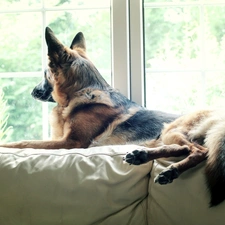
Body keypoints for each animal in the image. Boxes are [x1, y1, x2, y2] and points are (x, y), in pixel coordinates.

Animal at [0, 26, 223, 206]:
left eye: (45, 74)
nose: (32, 92)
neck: (82, 91)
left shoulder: (71, 142)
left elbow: (24, 142)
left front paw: (5, 145)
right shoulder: (61, 139)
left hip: (170, 130)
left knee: (198, 151)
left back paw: (171, 170)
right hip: (165, 136)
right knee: (183, 148)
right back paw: (142, 156)